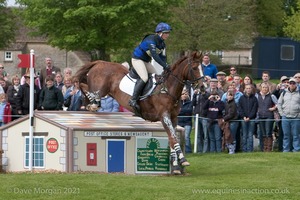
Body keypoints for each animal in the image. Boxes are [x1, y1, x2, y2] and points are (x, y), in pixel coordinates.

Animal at [75, 50, 204, 174]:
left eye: (202, 67)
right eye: (194, 68)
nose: (203, 87)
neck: (168, 88)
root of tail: (100, 62)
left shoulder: (173, 118)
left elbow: (172, 138)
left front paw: (176, 165)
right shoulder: (164, 116)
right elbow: (173, 137)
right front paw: (182, 160)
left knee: (84, 85)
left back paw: (90, 104)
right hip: (100, 89)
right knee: (83, 85)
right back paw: (92, 104)